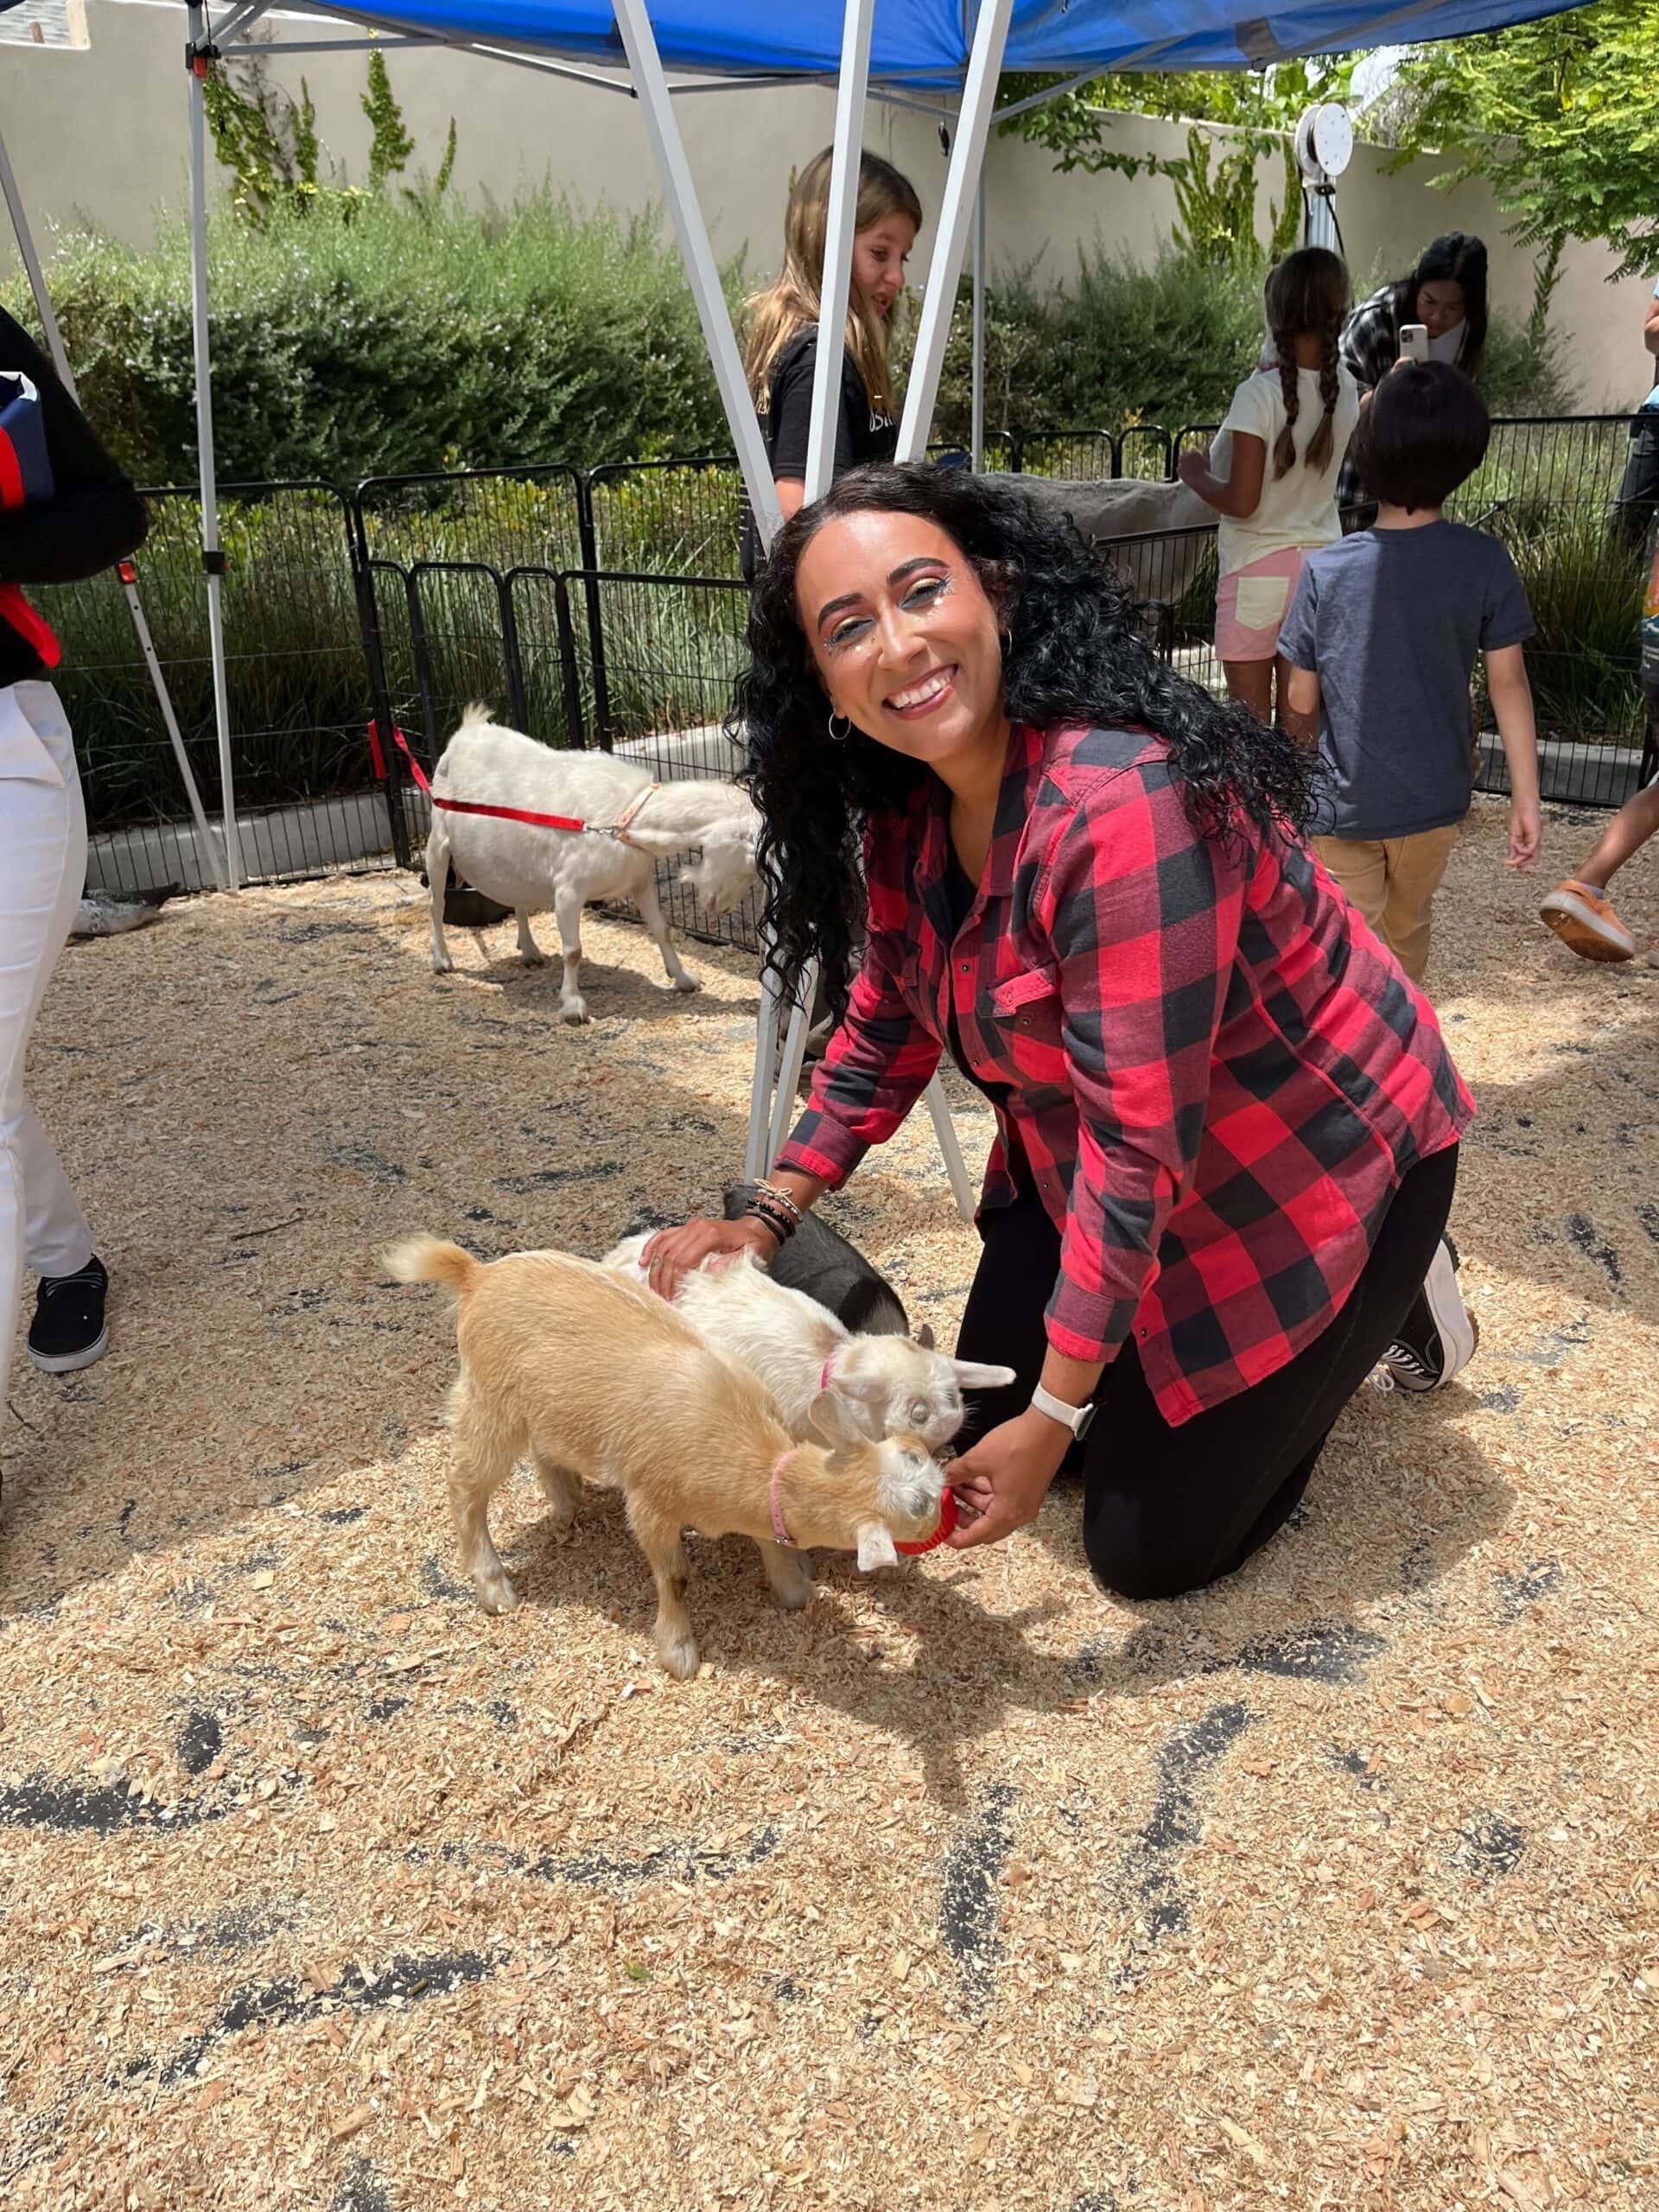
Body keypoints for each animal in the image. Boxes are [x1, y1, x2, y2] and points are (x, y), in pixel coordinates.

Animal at [380, 1247, 946, 1672]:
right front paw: (678, 1652)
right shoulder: (650, 1502)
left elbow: (772, 1542)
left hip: (547, 1406)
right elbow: (675, 1577)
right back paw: (494, 1586)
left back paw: (567, 1503)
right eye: (919, 1505)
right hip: (491, 1403)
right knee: (464, 1485)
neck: (744, 1451)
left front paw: (793, 1589)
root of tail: (476, 1274)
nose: (952, 1497)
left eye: (914, 1454)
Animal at [429, 703, 765, 1021]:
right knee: (436, 903)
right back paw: (442, 960)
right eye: (749, 868)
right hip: (438, 840)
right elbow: (573, 951)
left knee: (517, 898)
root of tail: (468, 729)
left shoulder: (640, 881)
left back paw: (530, 950)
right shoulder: (568, 889)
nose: (722, 909)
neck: (626, 820)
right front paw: (573, 1006)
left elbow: (661, 929)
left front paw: (684, 979)